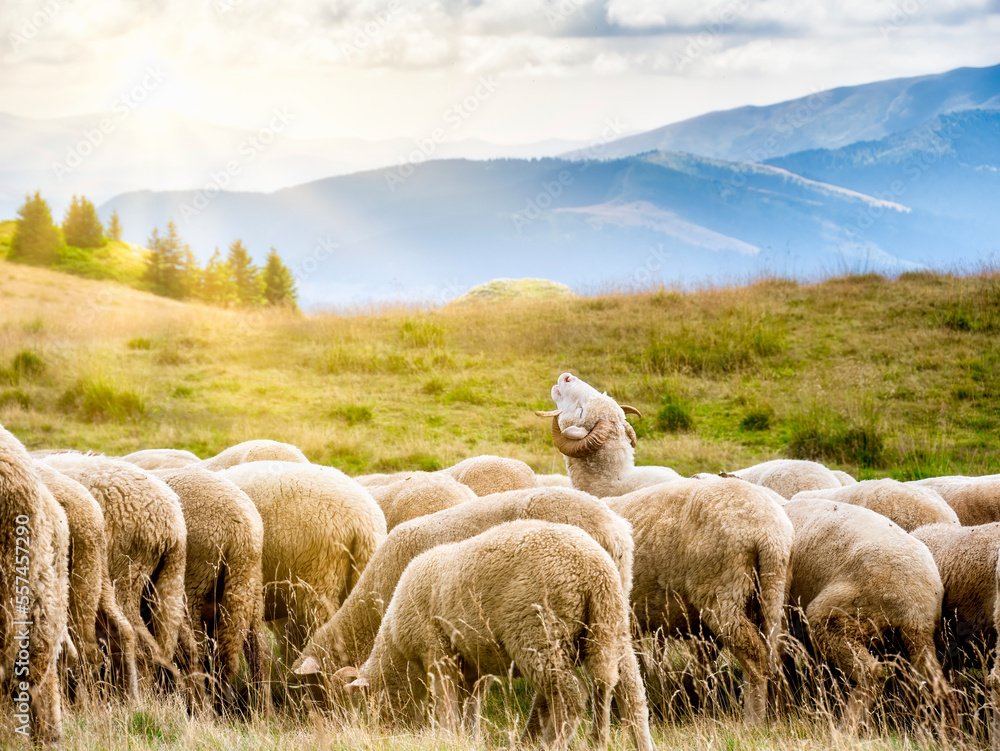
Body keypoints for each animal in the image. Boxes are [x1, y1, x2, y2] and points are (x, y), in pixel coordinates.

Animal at [152, 466, 269, 712]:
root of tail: (240, 528)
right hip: (248, 583)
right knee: (257, 650)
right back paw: (262, 710)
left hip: (192, 587)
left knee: (193, 650)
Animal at [347, 520, 645, 751]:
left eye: (372, 702)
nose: (384, 733)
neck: (396, 645)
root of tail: (594, 569)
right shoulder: (474, 665)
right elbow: (470, 707)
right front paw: (467, 738)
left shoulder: (437, 650)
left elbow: (446, 703)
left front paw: (445, 737)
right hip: (610, 623)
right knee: (625, 687)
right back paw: (617, 741)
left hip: (539, 632)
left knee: (572, 695)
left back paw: (552, 743)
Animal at [605, 477, 793, 723]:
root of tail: (769, 535)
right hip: (774, 589)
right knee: (777, 655)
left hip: (723, 595)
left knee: (755, 658)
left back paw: (752, 721)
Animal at [781, 498, 949, 725]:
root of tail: (913, 609)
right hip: (918, 639)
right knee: (935, 680)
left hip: (839, 616)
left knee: (872, 672)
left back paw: (850, 721)